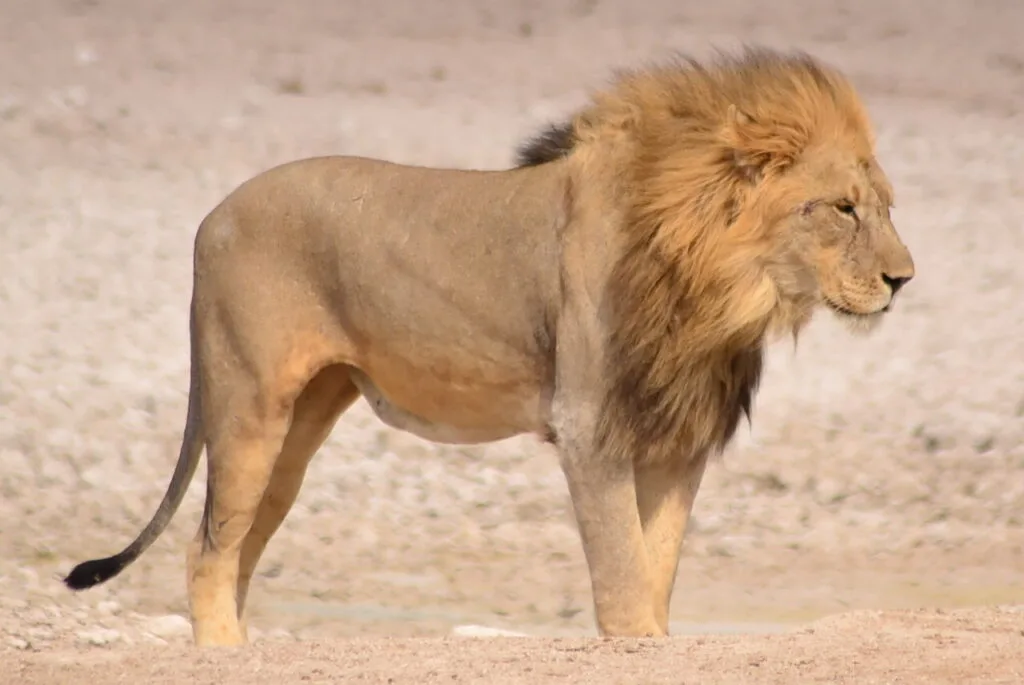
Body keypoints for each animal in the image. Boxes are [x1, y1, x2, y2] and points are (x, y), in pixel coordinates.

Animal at [63, 46, 914, 646]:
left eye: (884, 207)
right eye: (842, 208)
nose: (903, 279)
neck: (719, 286)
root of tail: (210, 217)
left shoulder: (679, 440)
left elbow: (657, 565)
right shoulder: (590, 428)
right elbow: (622, 577)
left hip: (298, 427)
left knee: (236, 547)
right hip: (248, 405)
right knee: (207, 550)